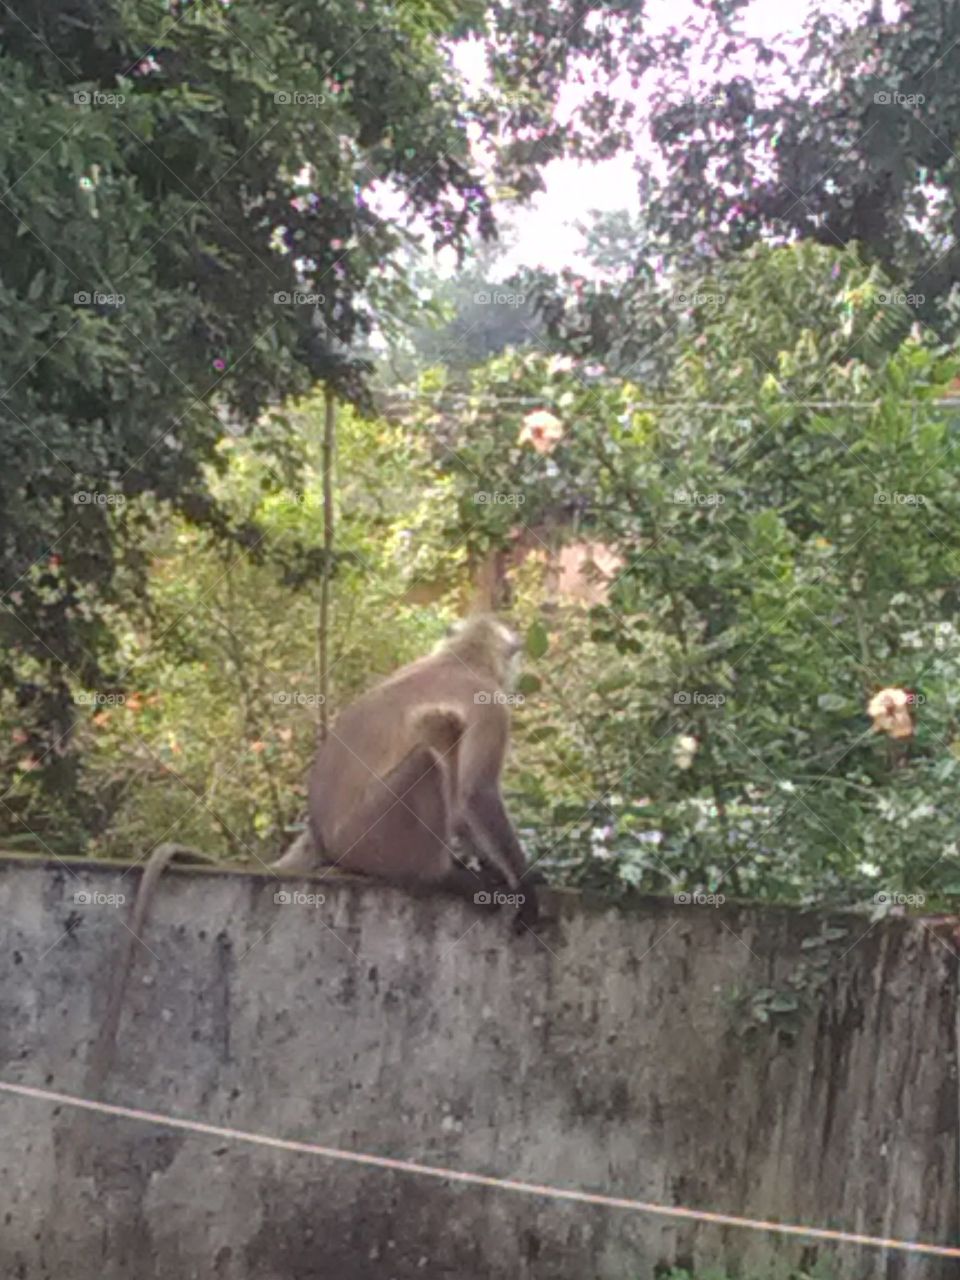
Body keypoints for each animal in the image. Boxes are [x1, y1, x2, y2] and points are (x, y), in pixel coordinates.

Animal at [272, 614, 542, 930]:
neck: (458, 660)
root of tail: (320, 834)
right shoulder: (491, 706)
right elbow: (477, 793)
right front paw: (524, 886)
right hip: (368, 837)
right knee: (430, 751)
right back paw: (442, 875)